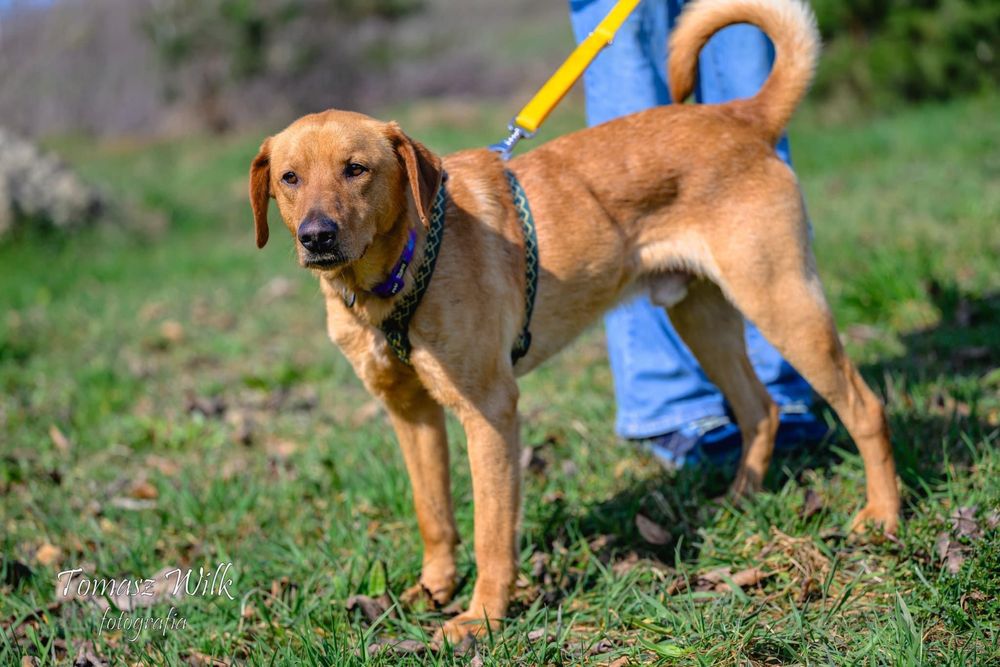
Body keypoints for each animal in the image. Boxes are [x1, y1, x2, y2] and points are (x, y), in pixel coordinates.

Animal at [248, 0, 900, 644]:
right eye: (289, 178)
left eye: (357, 169)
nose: (317, 237)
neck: (394, 277)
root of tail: (740, 116)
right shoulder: (410, 412)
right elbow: (433, 513)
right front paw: (432, 590)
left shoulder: (489, 410)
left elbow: (491, 532)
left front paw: (482, 617)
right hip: (699, 315)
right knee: (759, 407)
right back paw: (738, 501)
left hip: (780, 299)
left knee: (863, 407)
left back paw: (883, 518)